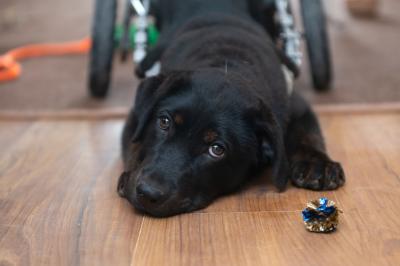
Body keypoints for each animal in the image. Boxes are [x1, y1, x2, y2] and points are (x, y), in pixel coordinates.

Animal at [116, 0, 344, 216]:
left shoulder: (297, 105)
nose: (148, 193)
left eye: (217, 149)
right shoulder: (135, 115)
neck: (228, 62)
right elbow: (136, 143)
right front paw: (129, 175)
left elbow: (308, 132)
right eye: (164, 122)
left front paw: (318, 164)